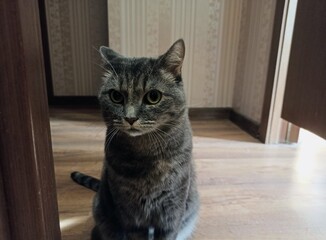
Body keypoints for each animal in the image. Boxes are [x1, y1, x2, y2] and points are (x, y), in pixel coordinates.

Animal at [71, 38, 199, 239]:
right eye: (116, 96)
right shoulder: (131, 217)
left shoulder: (171, 213)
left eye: (153, 96)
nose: (130, 118)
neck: (147, 153)